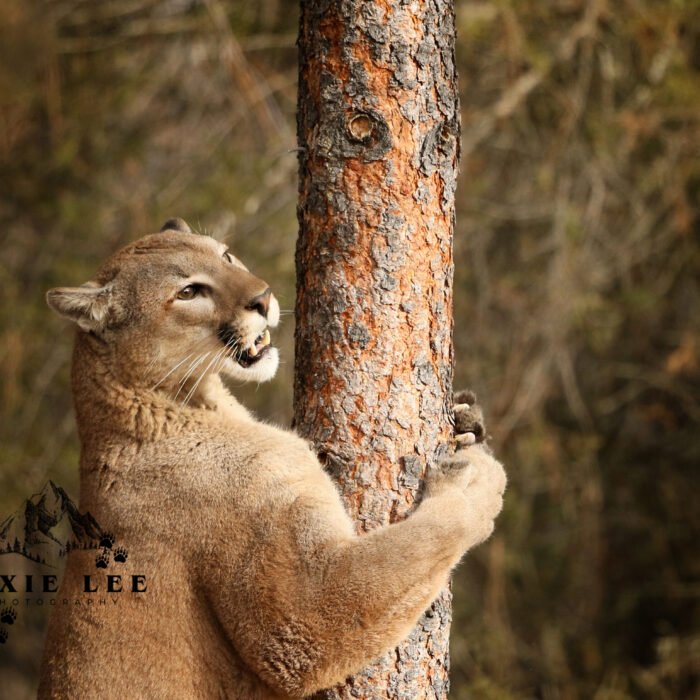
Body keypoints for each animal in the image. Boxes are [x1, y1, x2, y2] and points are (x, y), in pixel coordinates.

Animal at [38, 219, 506, 699]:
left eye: (225, 255)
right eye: (188, 292)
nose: (262, 297)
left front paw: (468, 424)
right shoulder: (300, 616)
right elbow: (419, 544)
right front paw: (476, 483)